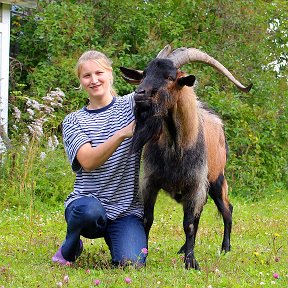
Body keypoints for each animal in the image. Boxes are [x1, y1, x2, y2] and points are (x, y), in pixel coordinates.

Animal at [120, 45, 251, 270]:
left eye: (169, 77)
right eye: (144, 73)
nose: (139, 94)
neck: (176, 147)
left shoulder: (195, 183)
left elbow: (188, 224)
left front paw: (191, 262)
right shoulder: (150, 182)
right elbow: (148, 219)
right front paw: (143, 255)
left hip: (216, 179)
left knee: (227, 209)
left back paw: (225, 248)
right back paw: (184, 248)